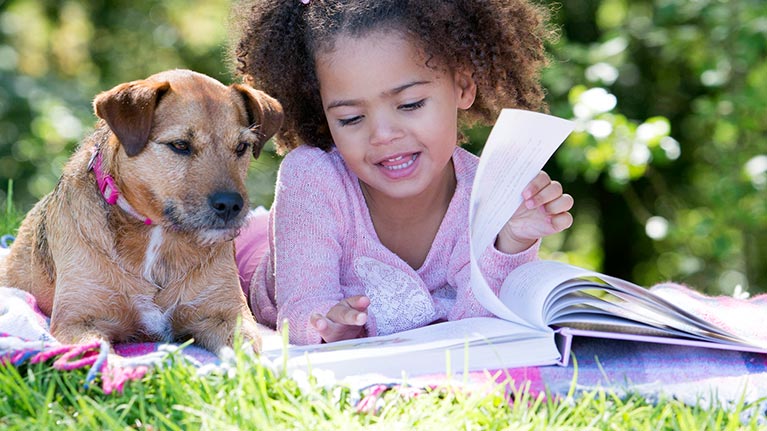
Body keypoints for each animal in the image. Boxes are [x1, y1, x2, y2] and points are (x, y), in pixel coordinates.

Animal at [0, 70, 284, 354]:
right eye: (180, 145)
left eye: (242, 147)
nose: (231, 205)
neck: (157, 235)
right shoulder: (77, 321)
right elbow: (100, 354)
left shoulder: (228, 316)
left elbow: (246, 354)